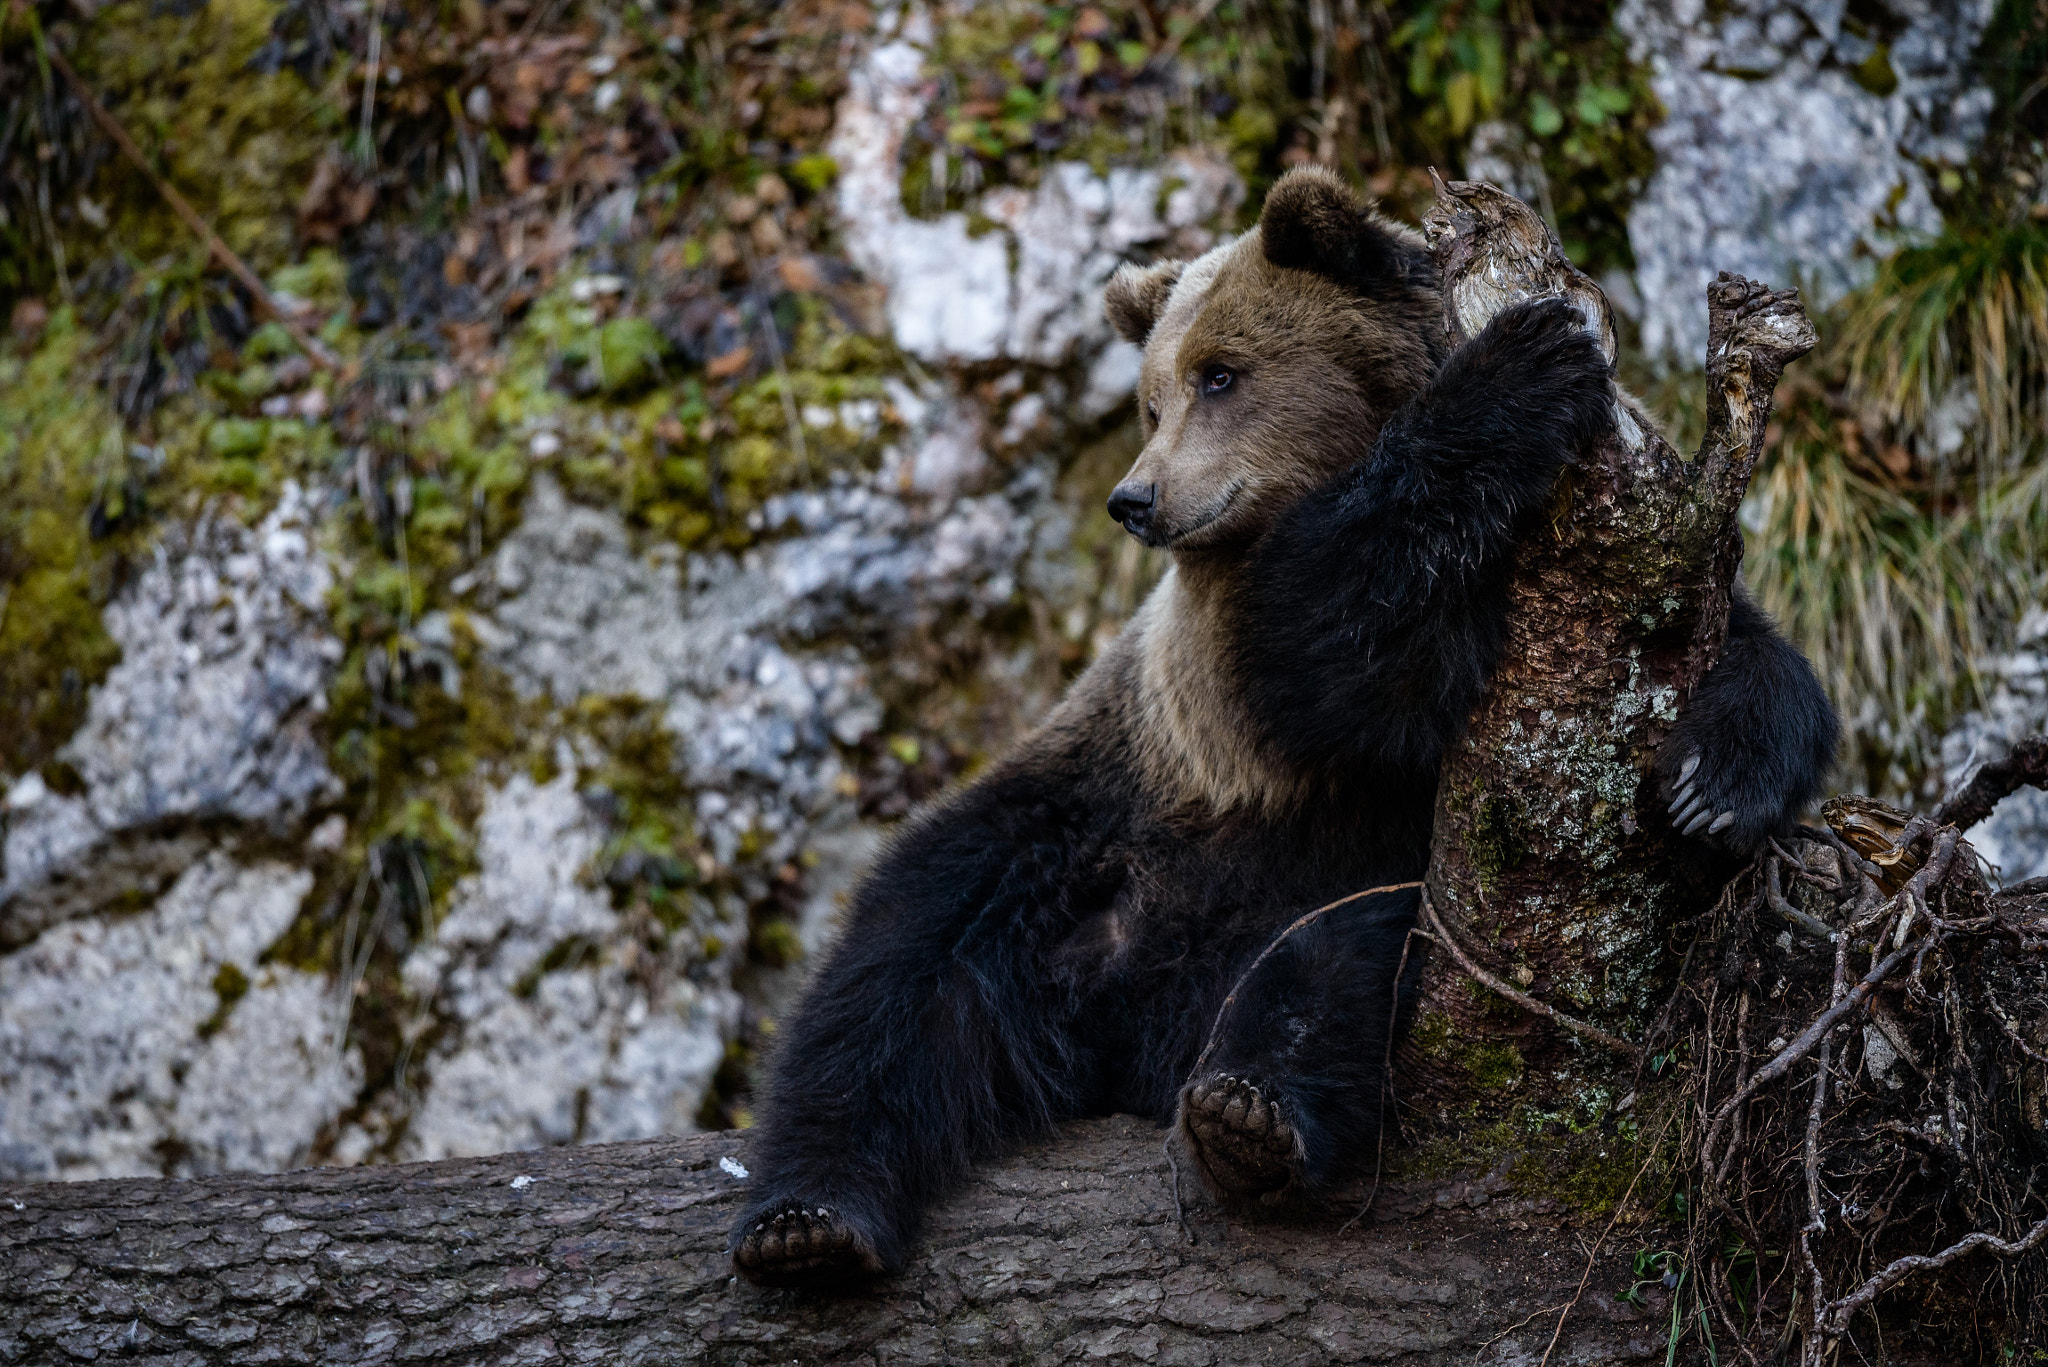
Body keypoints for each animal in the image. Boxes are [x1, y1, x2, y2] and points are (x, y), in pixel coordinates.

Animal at [724, 166, 1843, 1287]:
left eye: (1219, 375)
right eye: (1152, 397)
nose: (1135, 497)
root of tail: (1125, 1022)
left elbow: (1755, 666)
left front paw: (1711, 784)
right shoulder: (1231, 646)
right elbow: (1325, 632)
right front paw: (1518, 370)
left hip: (1322, 873)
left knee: (1336, 962)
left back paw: (1250, 1109)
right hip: (1073, 825)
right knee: (894, 977)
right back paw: (809, 1216)